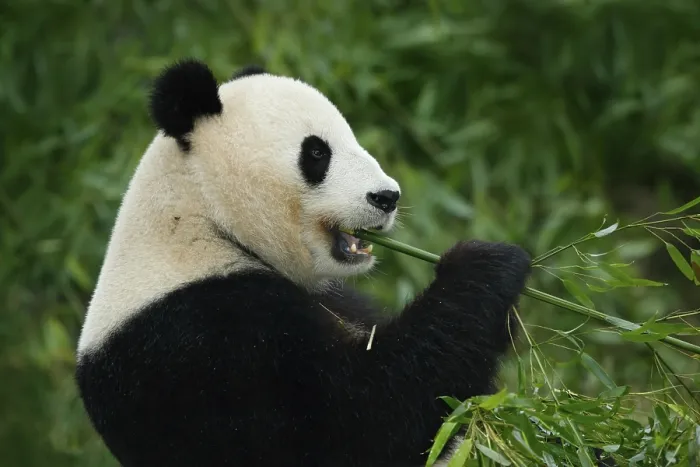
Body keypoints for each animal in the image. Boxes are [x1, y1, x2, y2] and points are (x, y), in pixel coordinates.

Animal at [75, 58, 532, 467]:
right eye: (316, 152)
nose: (387, 197)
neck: (203, 219)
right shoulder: (203, 342)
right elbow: (362, 422)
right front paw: (487, 263)